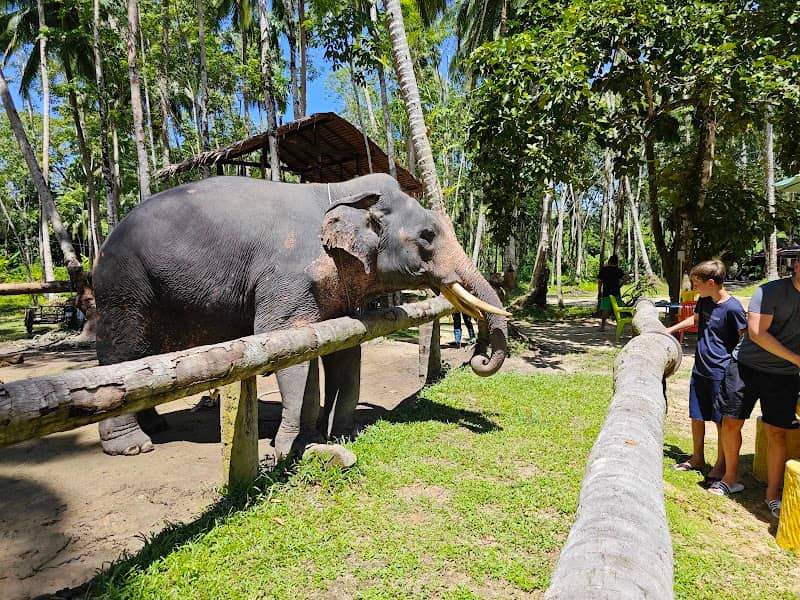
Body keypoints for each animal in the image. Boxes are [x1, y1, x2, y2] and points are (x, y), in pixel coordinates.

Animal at [92, 173, 509, 458]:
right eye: (426, 236)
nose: (479, 359)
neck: (340, 192)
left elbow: (345, 350)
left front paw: (340, 434)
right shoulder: (288, 275)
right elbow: (286, 347)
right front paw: (290, 448)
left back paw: (156, 424)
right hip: (123, 285)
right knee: (122, 354)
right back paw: (133, 445)